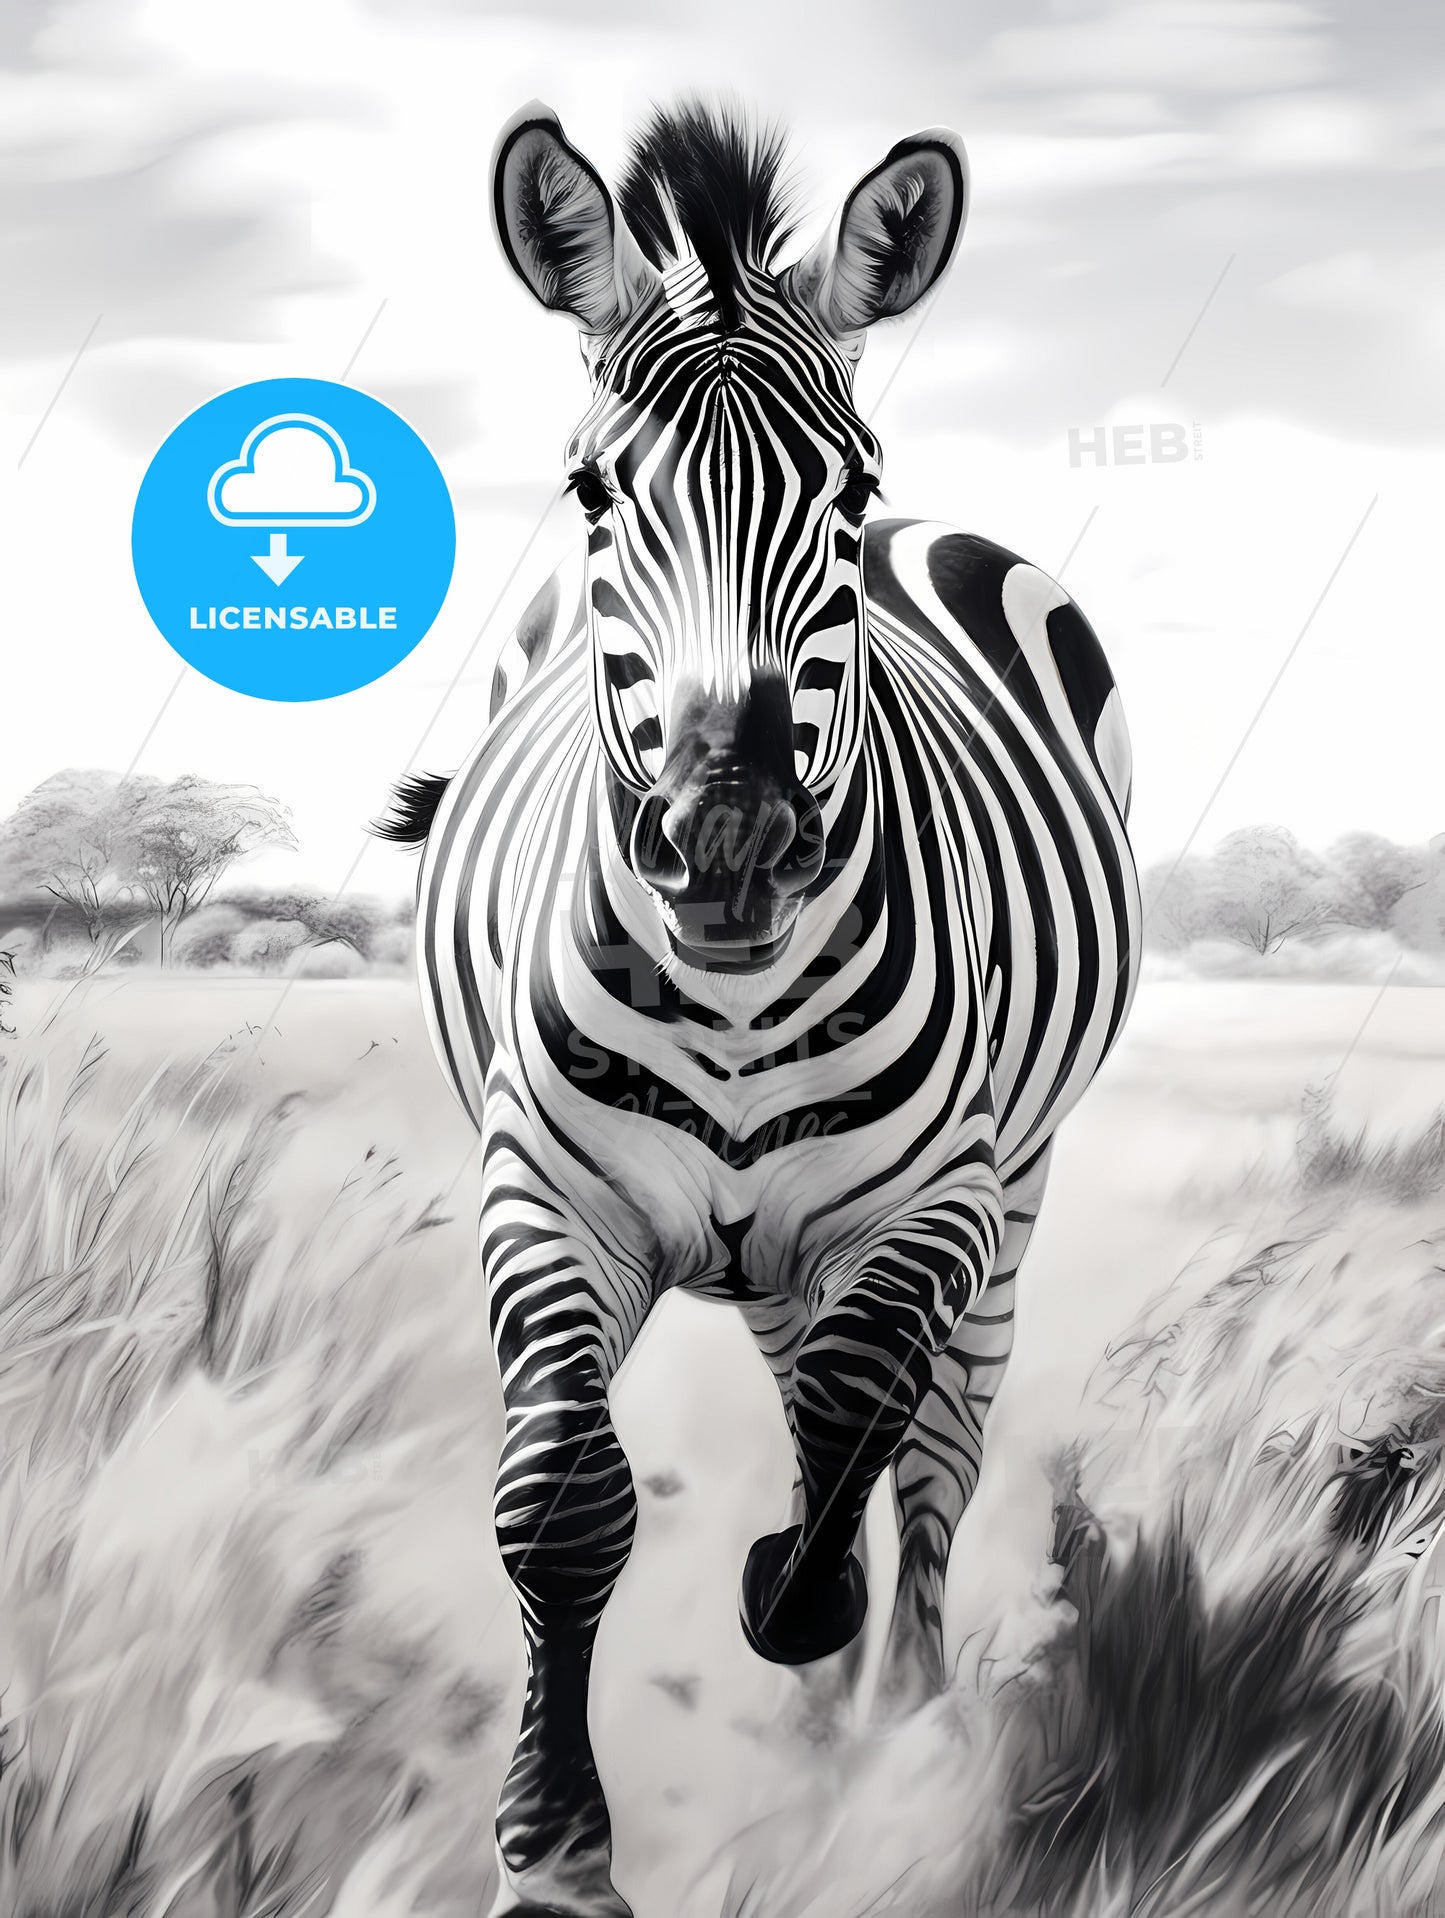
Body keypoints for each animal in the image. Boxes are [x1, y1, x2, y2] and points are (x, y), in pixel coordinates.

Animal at [379, 100, 1140, 1918]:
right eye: (592, 489)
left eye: (849, 490)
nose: (725, 838)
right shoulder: (545, 1190)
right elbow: (561, 1500)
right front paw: (555, 1849)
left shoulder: (939, 1198)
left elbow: (862, 1448)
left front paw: (820, 1645)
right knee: (824, 1407)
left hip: (1002, 1188)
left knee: (924, 1445)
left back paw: (899, 1715)